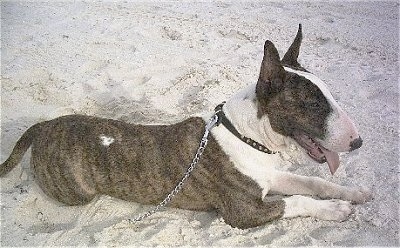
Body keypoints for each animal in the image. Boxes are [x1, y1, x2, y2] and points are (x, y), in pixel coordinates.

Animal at [0, 25, 370, 229]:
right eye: (313, 104)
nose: (358, 143)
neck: (247, 137)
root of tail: (46, 126)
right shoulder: (243, 212)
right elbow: (296, 202)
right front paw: (336, 209)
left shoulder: (269, 176)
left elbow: (311, 183)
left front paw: (353, 193)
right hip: (78, 193)